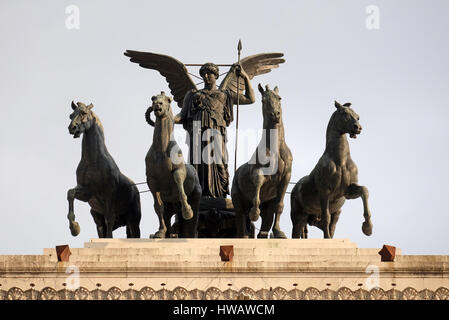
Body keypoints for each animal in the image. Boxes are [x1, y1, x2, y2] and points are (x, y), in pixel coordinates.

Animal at [65, 101, 140, 239]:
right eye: (71, 115)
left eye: (83, 113)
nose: (72, 128)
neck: (93, 162)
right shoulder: (87, 193)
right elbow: (70, 193)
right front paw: (74, 228)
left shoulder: (109, 196)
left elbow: (109, 219)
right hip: (97, 217)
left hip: (133, 221)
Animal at [231, 84, 290, 239]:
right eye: (263, 100)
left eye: (279, 98)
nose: (275, 114)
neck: (275, 150)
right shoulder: (257, 172)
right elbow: (257, 189)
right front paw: (254, 213)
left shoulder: (286, 178)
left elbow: (279, 206)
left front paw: (279, 232)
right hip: (237, 200)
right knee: (240, 219)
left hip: (267, 206)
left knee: (267, 218)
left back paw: (263, 233)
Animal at [288, 101, 372, 239]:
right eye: (344, 113)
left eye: (357, 116)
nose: (358, 128)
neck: (340, 162)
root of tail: (295, 187)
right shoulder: (325, 193)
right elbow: (326, 217)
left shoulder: (347, 192)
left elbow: (364, 190)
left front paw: (368, 228)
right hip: (298, 217)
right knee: (296, 233)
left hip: (332, 213)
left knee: (332, 226)